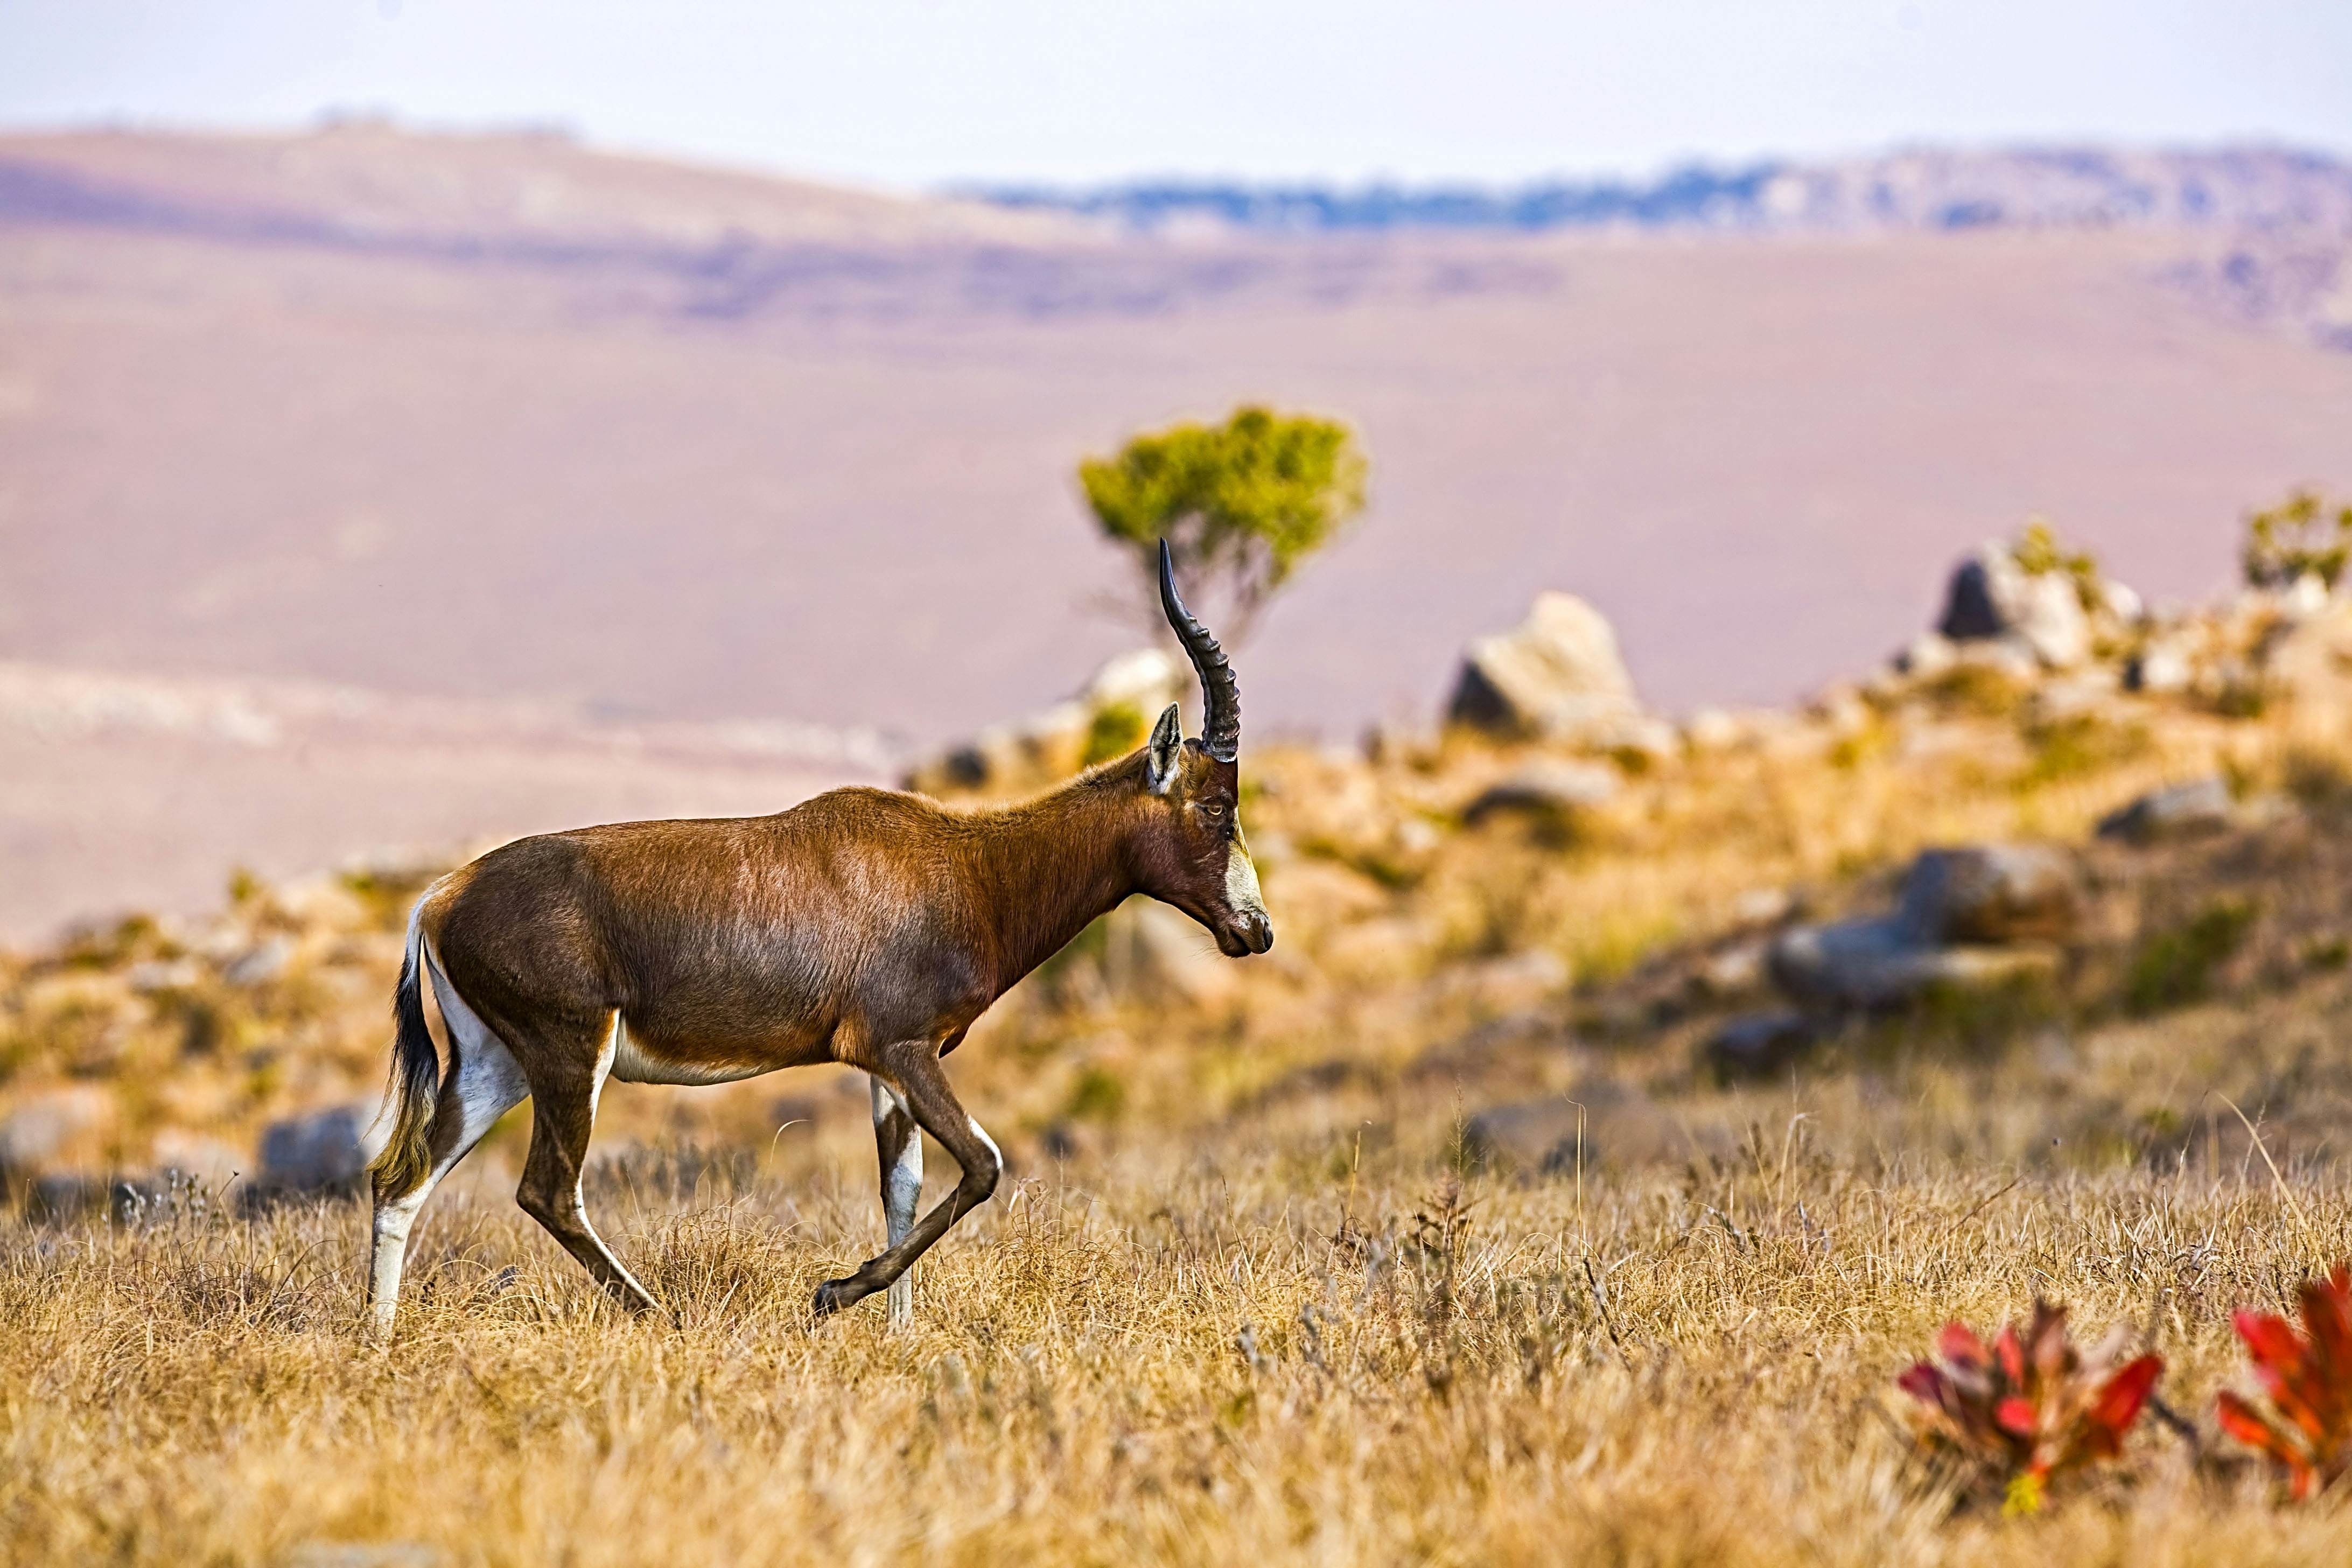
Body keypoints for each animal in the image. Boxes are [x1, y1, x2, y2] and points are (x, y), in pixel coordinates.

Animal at [363, 543, 1271, 1335]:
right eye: (1215, 806)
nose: (1255, 931)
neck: (964, 863)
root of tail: (440, 899)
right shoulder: (898, 1048)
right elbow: (983, 1165)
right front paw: (834, 1293)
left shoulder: (893, 1068)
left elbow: (901, 1190)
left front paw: (897, 1334)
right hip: (566, 1058)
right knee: (546, 1191)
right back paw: (663, 1317)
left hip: (496, 1065)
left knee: (400, 1181)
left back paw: (378, 1339)